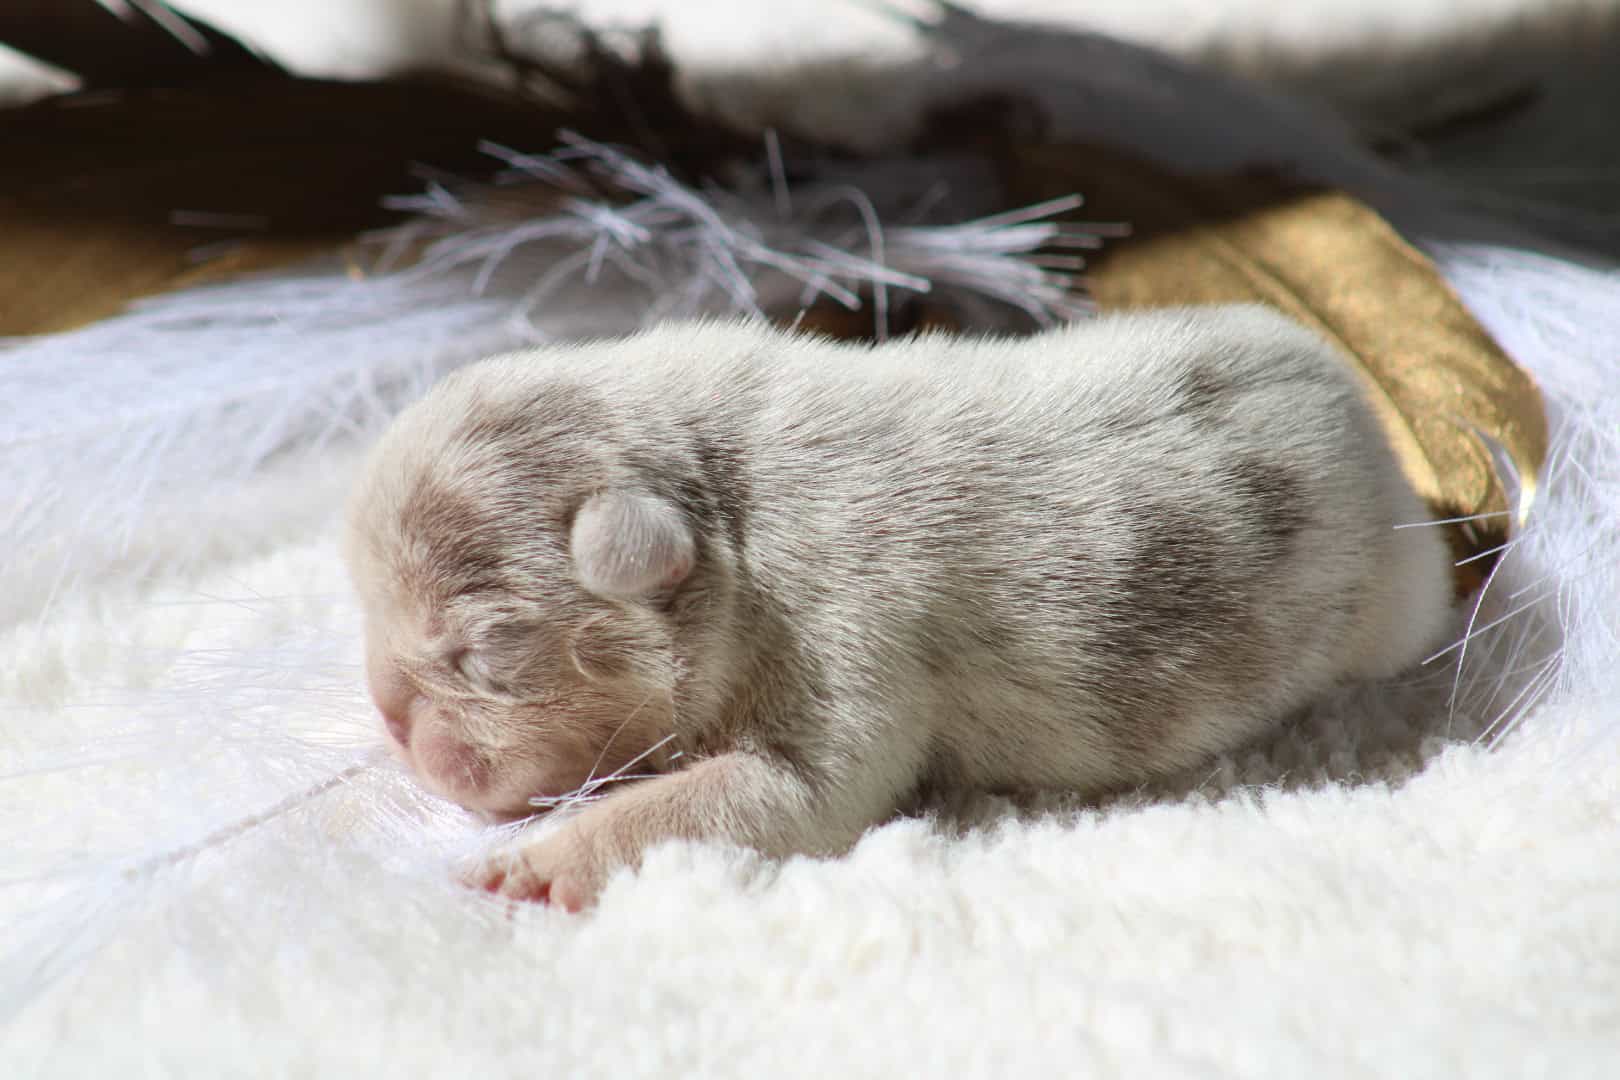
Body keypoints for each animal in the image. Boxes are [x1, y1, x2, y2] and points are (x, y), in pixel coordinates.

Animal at [348, 306, 1451, 913]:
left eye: (485, 653)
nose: (390, 720)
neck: (729, 502)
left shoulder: (848, 635)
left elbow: (779, 794)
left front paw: (541, 863)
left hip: (1396, 602)